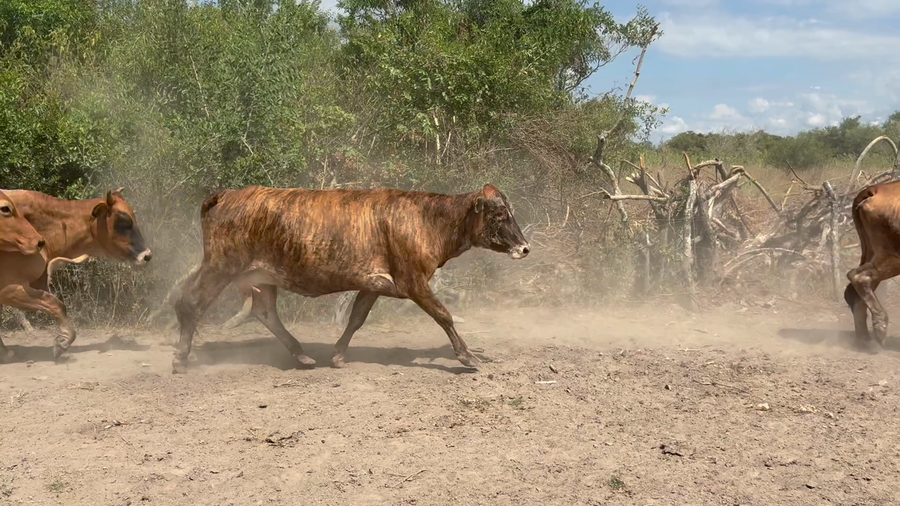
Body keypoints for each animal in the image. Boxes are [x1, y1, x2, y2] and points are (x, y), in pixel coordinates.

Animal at [172, 183, 530, 373]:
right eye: (500, 214)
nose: (525, 247)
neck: (428, 219)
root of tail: (227, 194)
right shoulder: (413, 281)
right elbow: (444, 314)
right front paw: (466, 356)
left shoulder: (373, 284)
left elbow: (356, 318)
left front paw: (338, 354)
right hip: (221, 265)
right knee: (189, 302)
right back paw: (180, 359)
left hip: (263, 276)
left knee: (265, 312)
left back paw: (301, 354)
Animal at [845, 180, 900, 348]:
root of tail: (875, 189)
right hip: (892, 256)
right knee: (859, 276)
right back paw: (880, 327)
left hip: (872, 253)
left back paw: (864, 339)